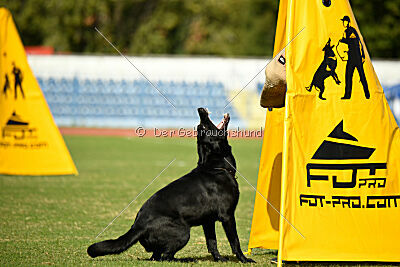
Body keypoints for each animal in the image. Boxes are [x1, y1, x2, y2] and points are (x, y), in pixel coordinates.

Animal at [88, 108, 255, 264]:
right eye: (203, 126)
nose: (200, 110)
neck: (216, 167)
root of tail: (138, 226)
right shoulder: (227, 216)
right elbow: (235, 242)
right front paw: (244, 259)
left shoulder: (208, 222)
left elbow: (212, 243)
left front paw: (219, 259)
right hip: (183, 232)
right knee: (165, 257)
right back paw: (187, 260)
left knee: (156, 257)